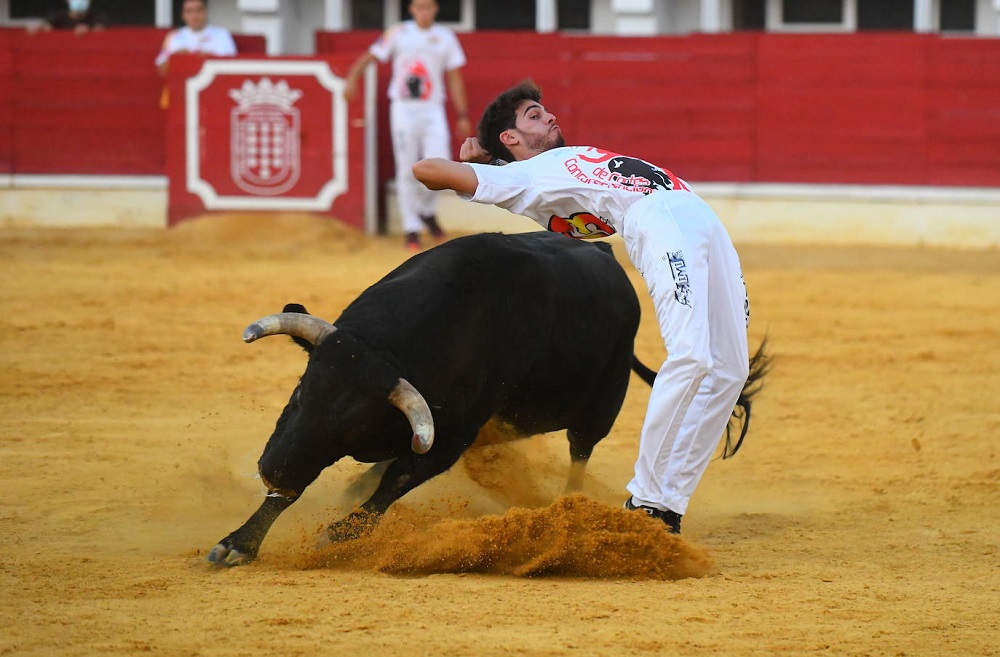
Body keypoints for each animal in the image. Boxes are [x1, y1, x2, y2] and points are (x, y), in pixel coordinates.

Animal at [205, 231, 764, 564]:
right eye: (302, 390)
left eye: (355, 423)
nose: (273, 469)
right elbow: (318, 487)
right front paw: (238, 542)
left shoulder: (450, 436)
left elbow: (392, 485)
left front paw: (337, 533)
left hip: (601, 405)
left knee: (580, 455)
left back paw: (570, 509)